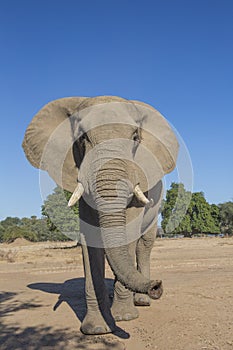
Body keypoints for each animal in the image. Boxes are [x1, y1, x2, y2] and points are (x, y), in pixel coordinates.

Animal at [22, 95, 178, 334]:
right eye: (82, 138)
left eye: (135, 137)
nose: (157, 286)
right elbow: (91, 240)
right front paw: (97, 329)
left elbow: (129, 234)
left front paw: (124, 317)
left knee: (144, 245)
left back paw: (141, 301)